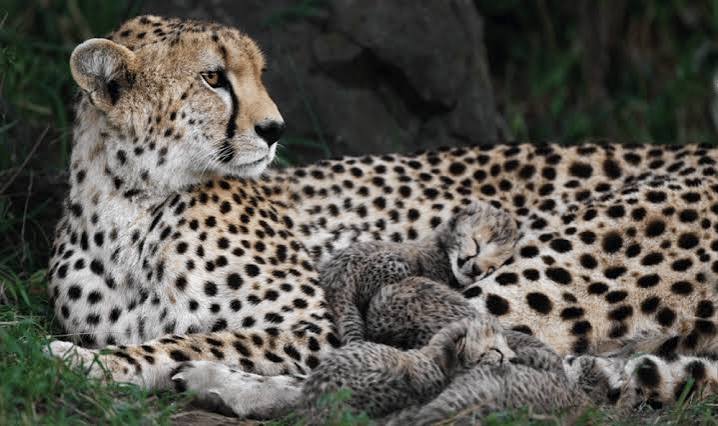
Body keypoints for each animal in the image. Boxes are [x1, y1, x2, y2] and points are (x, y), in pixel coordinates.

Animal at [319, 200, 516, 346]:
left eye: (492, 267)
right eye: (476, 244)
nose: (477, 270)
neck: (443, 248)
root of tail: (335, 279)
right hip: (395, 267)